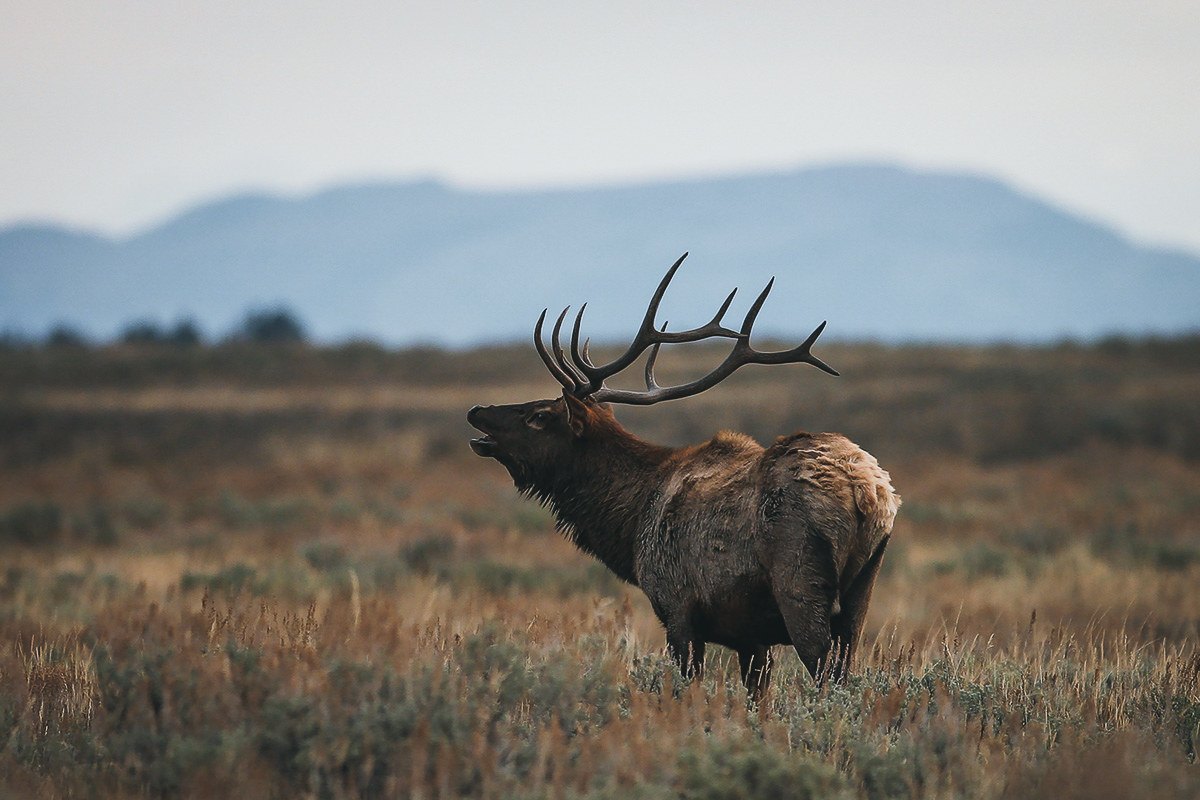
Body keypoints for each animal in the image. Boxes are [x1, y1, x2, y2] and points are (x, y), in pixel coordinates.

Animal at [468, 253, 902, 695]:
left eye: (541, 415)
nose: (477, 410)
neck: (629, 524)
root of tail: (866, 491)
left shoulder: (676, 606)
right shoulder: (751, 637)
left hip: (799, 582)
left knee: (825, 676)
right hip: (862, 591)